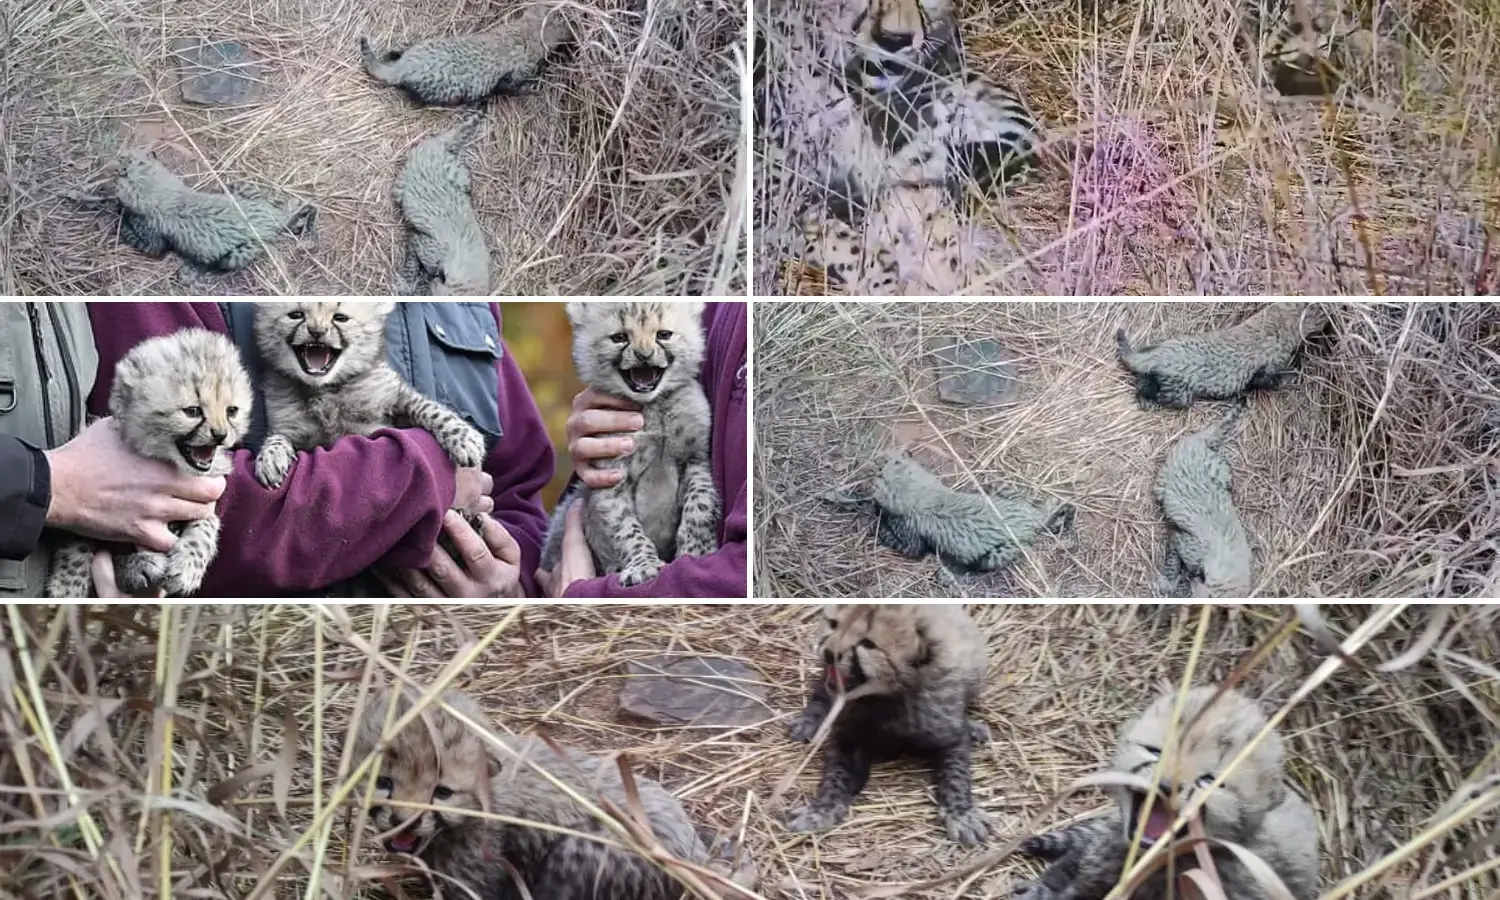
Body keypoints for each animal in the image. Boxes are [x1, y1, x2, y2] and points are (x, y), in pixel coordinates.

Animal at [46, 329, 252, 598]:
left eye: (231, 411)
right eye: (193, 411)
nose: (220, 435)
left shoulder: (205, 499)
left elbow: (207, 525)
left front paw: (188, 565)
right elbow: (77, 545)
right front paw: (67, 586)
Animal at [786, 604, 993, 846]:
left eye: (868, 644)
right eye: (833, 624)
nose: (828, 653)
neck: (888, 697)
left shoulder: (949, 733)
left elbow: (956, 775)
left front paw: (961, 814)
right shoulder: (849, 738)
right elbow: (836, 777)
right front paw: (820, 810)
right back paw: (810, 720)